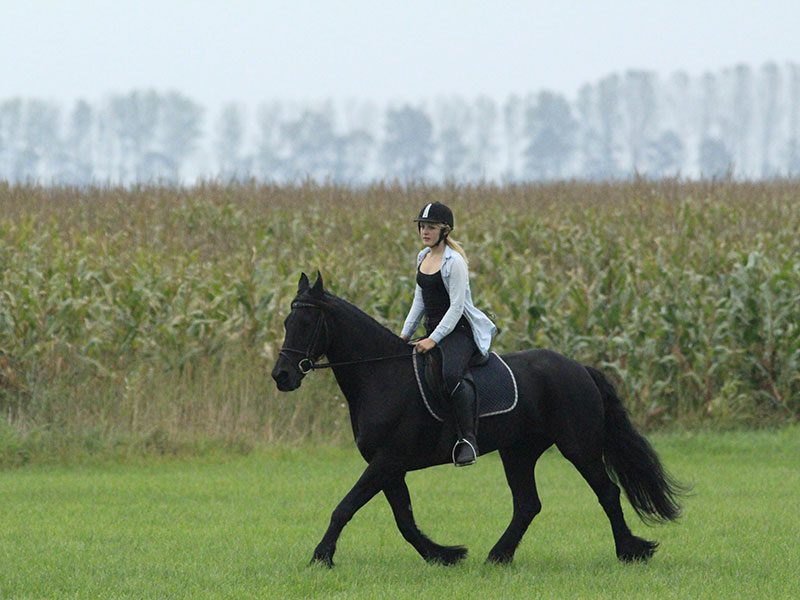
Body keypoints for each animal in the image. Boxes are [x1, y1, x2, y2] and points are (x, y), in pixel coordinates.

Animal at [270, 274, 680, 568]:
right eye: (288, 320)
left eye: (307, 322)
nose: (282, 376)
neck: (381, 375)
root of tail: (579, 368)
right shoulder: (389, 465)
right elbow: (404, 519)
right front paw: (445, 554)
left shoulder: (388, 460)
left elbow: (346, 506)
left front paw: (321, 556)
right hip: (519, 452)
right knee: (527, 504)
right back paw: (498, 556)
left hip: (578, 446)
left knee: (607, 492)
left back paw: (631, 551)